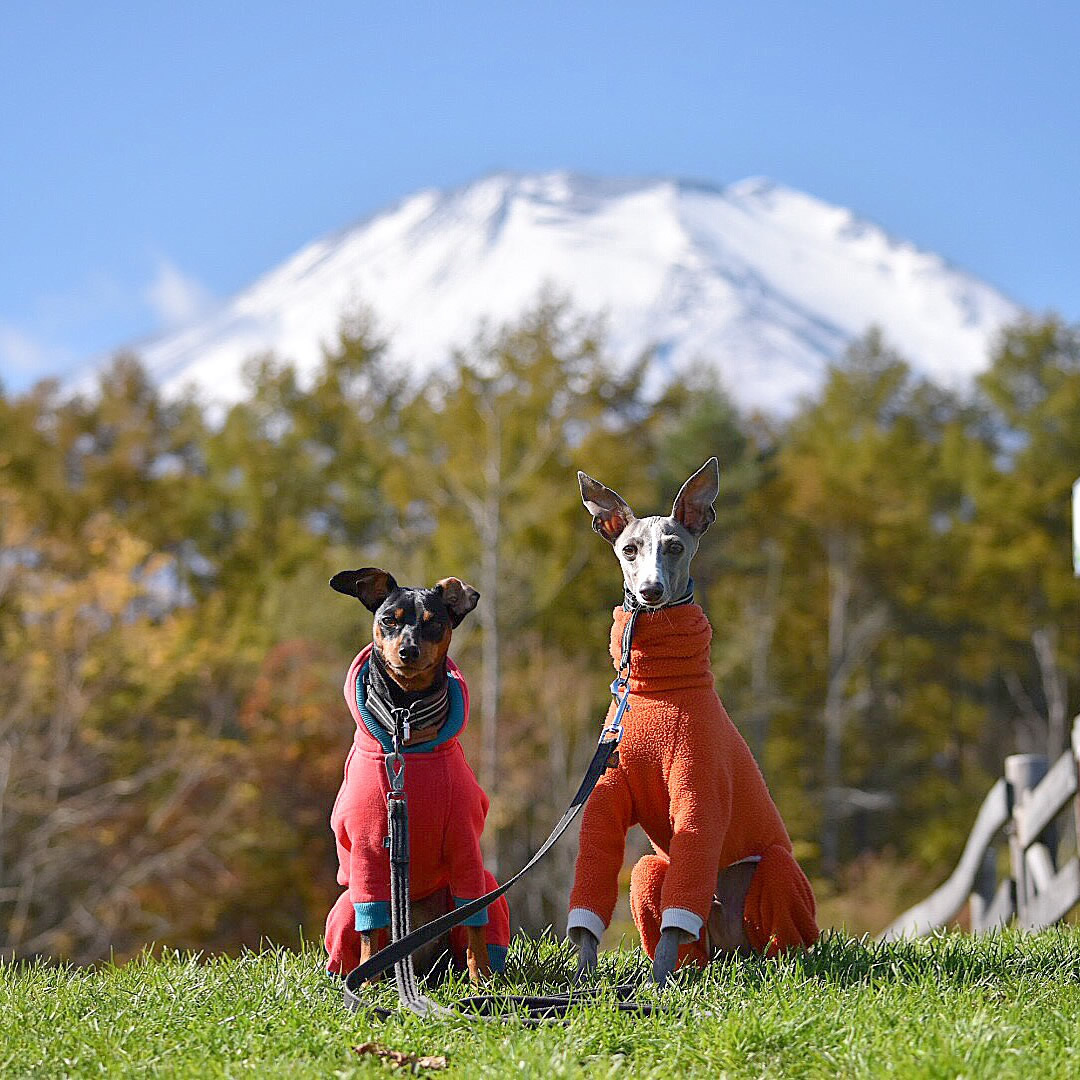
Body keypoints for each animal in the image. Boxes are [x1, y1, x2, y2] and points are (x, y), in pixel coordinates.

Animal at [319, 570, 509, 984]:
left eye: (433, 623)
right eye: (389, 619)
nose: (408, 651)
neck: (405, 719)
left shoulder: (464, 841)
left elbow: (473, 915)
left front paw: (481, 978)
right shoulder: (368, 847)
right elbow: (370, 927)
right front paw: (367, 982)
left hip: (488, 889)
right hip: (344, 908)